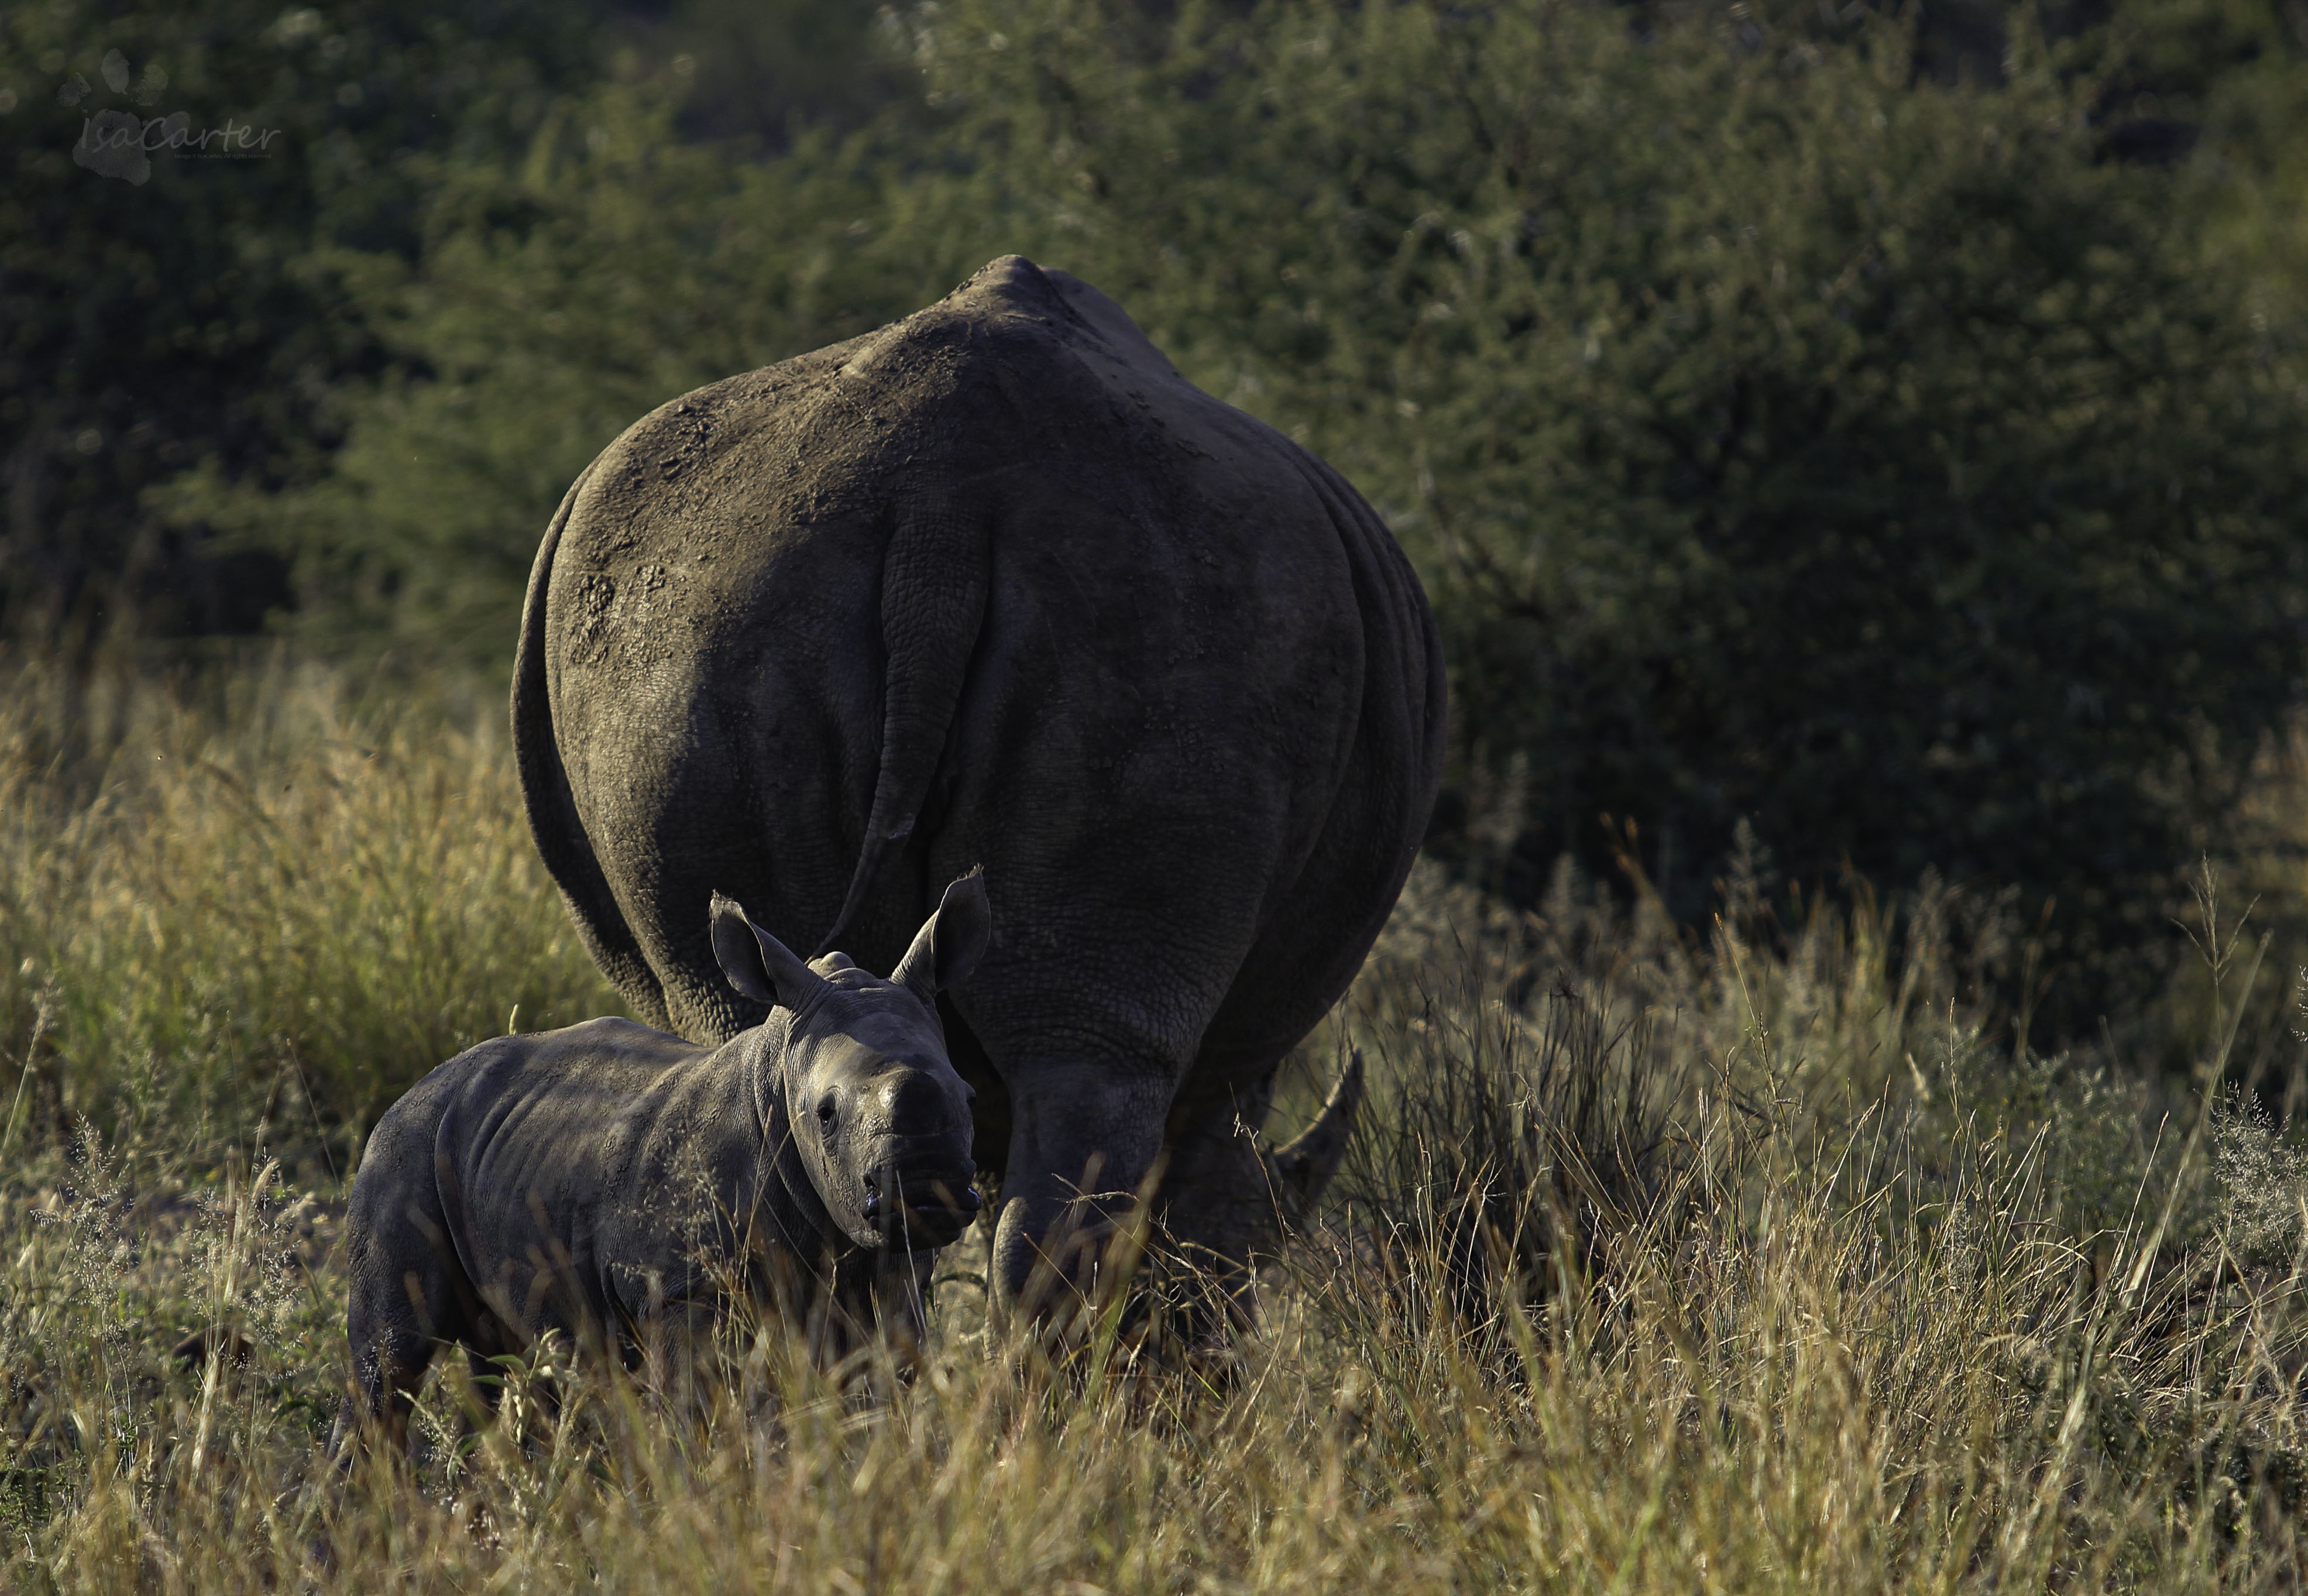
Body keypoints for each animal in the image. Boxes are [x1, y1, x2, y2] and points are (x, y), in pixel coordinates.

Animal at [334, 874, 986, 1452]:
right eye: (825, 1114)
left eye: (969, 1097)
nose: (927, 1189)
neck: (777, 1080)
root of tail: (418, 1085)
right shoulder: (679, 1289)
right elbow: (695, 1411)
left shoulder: (893, 1275)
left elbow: (885, 1396)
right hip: (403, 1147)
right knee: (392, 1354)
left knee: (514, 1361)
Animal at [513, 255, 1445, 1333]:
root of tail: (938, 509)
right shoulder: (1238, 1062)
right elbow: (1199, 1208)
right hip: (1167, 616)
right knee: (1091, 1070)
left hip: (705, 625)